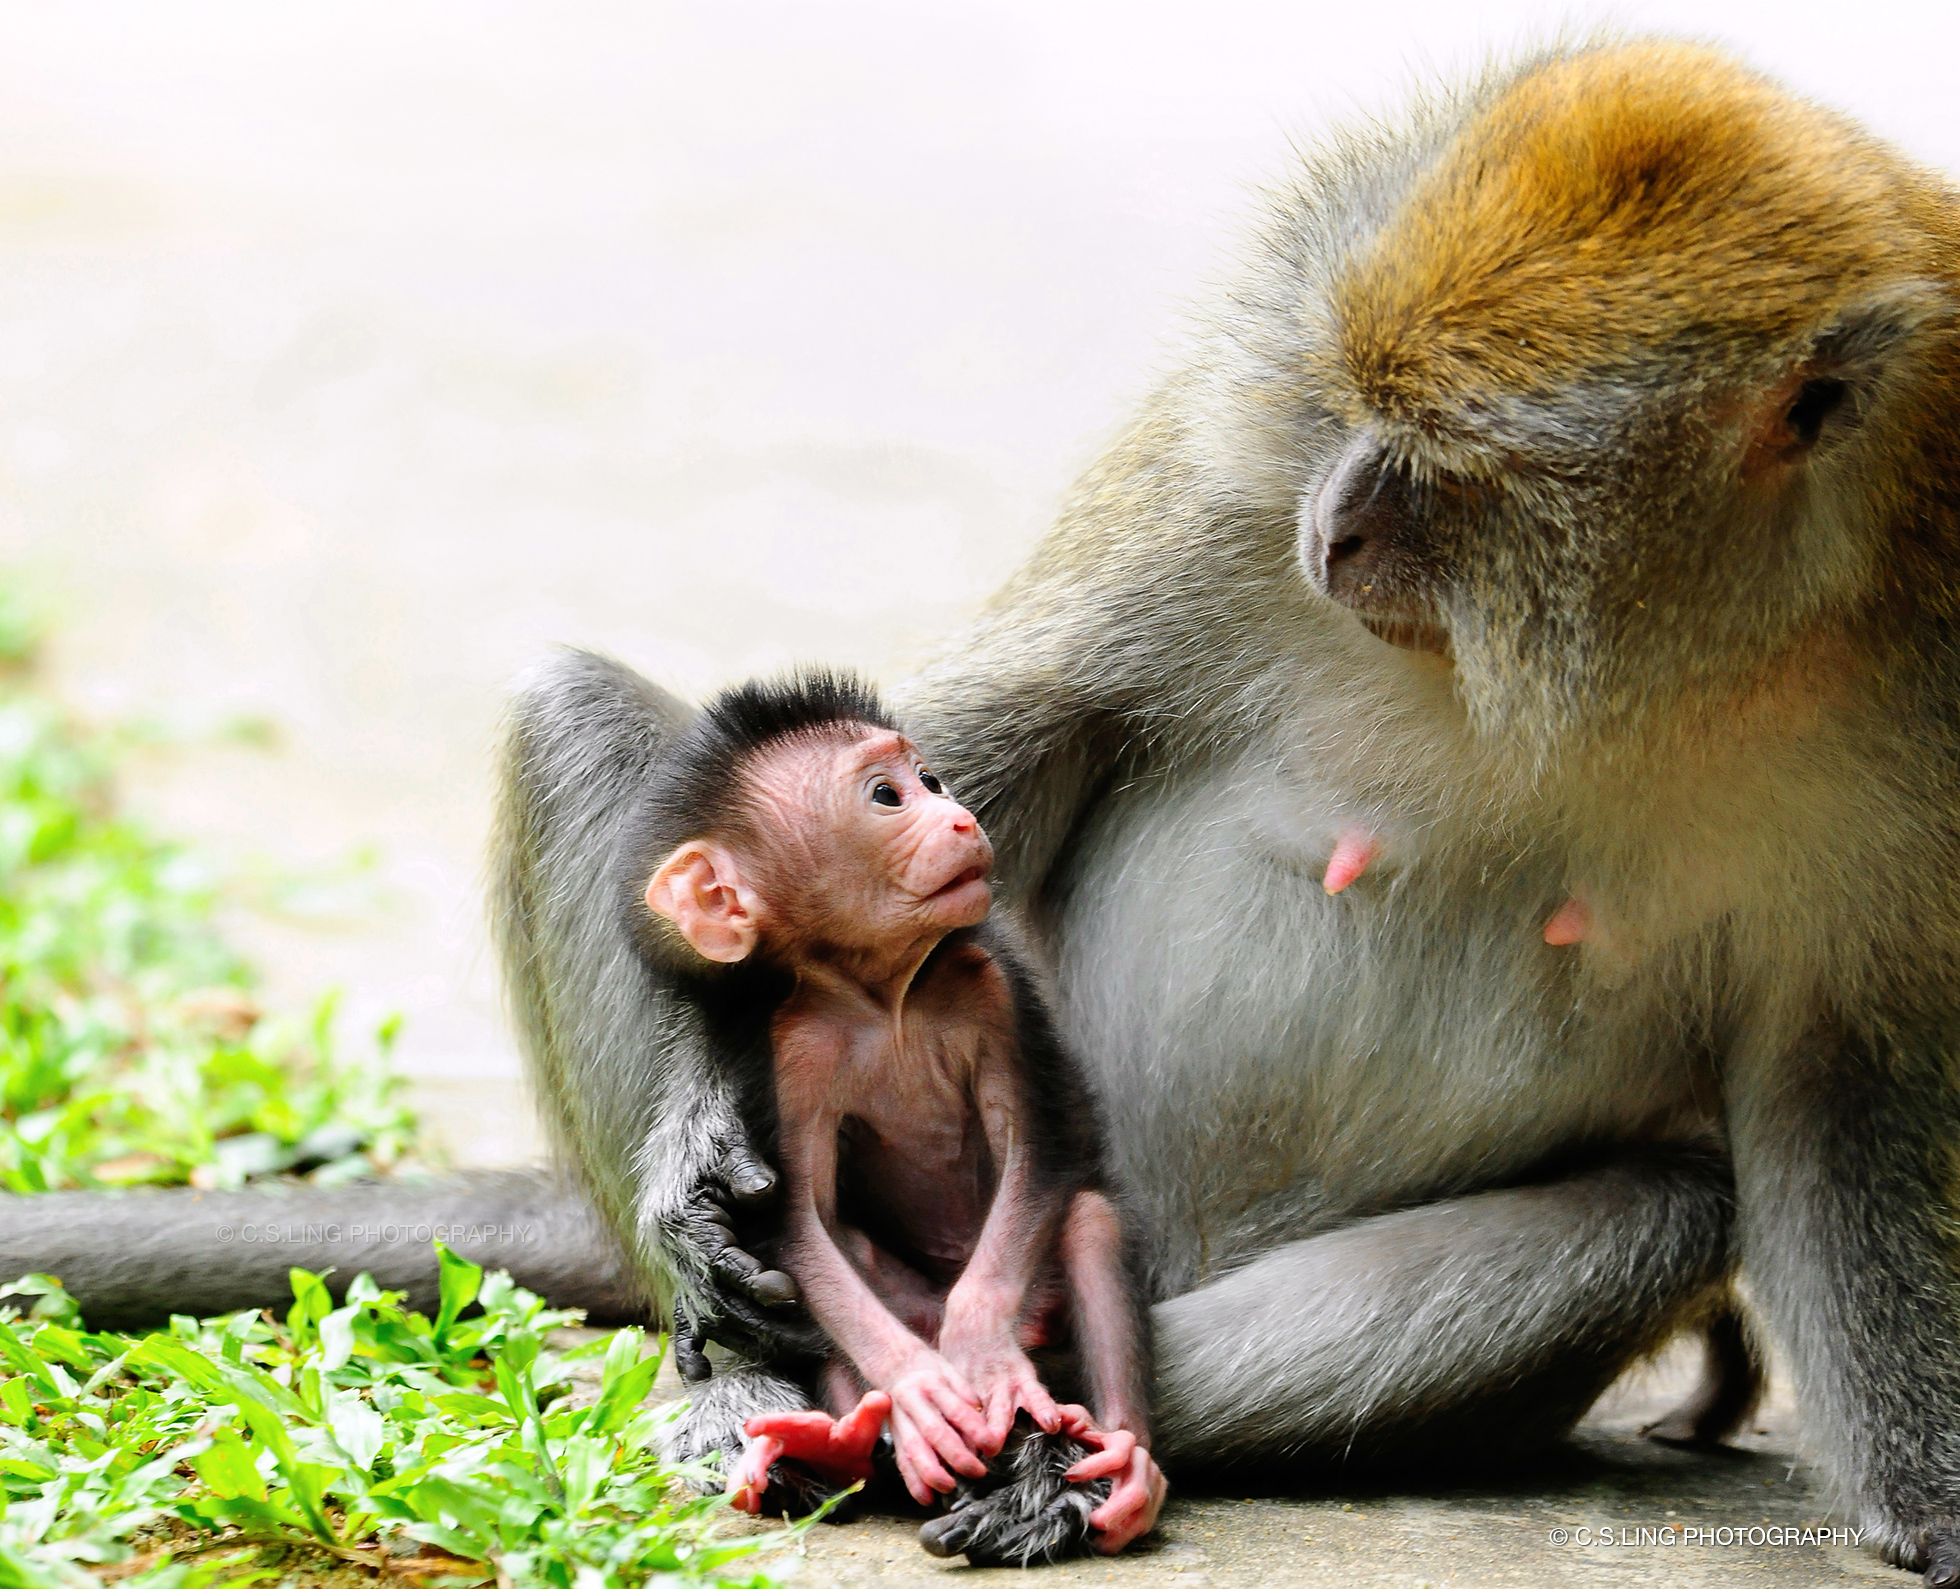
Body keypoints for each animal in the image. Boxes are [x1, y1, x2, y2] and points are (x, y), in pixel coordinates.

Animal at [619, 670, 1162, 1562]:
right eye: (887, 795)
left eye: (932, 779)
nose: (960, 816)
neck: (884, 997)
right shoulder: (795, 1048)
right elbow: (799, 1222)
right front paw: (917, 1393)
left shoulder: (989, 986)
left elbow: (1040, 1153)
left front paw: (983, 1352)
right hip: (897, 1304)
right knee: (827, 1295)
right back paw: (835, 1444)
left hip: (1043, 1298)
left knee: (1085, 1221)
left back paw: (1123, 1471)